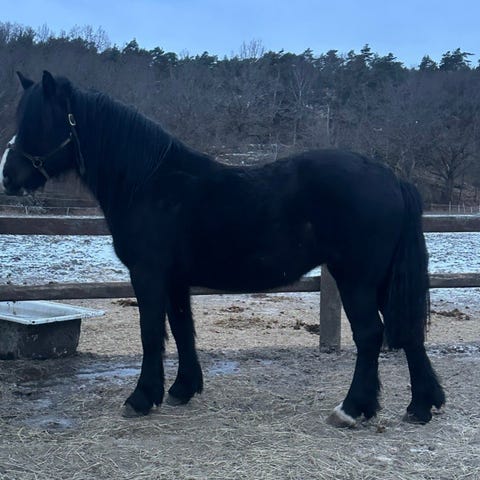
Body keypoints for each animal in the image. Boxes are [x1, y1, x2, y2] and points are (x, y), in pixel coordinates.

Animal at [1, 71, 445, 426]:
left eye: (37, 121)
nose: (8, 176)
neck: (150, 183)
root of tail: (391, 177)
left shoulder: (147, 274)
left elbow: (150, 332)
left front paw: (141, 398)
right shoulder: (176, 280)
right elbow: (183, 329)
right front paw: (182, 390)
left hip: (356, 279)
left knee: (371, 335)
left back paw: (351, 409)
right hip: (382, 279)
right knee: (409, 332)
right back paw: (420, 406)